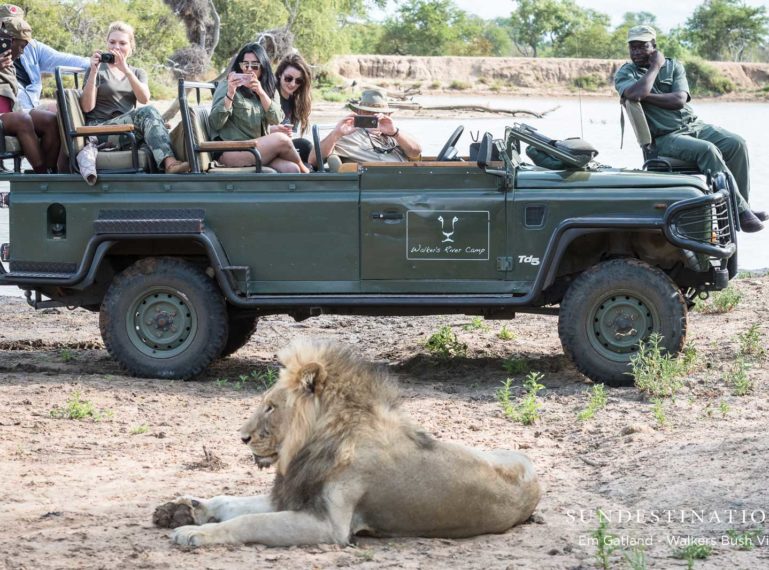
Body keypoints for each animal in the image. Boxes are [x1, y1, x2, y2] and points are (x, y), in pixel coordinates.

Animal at [154, 338, 540, 544]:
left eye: (271, 407)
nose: (242, 437)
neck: (316, 442)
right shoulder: (296, 496)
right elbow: (232, 503)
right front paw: (186, 509)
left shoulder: (330, 526)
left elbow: (249, 521)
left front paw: (195, 533)